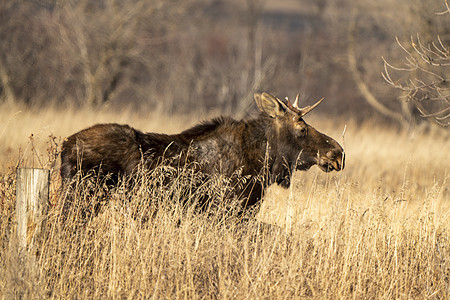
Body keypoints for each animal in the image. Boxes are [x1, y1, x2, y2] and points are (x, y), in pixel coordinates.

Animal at [60, 91, 344, 218]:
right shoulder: (228, 211)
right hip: (83, 199)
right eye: (302, 129)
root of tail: (64, 148)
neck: (263, 162)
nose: (338, 153)